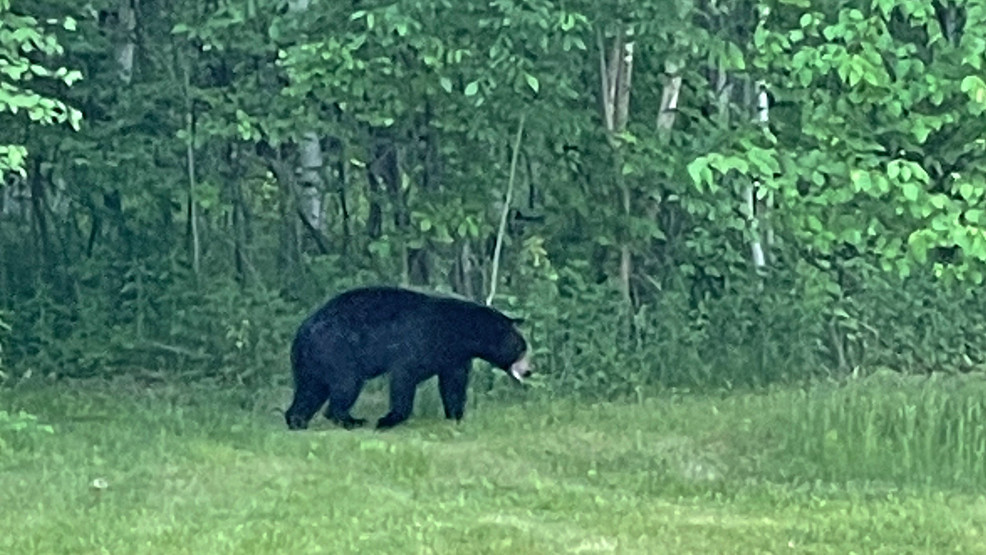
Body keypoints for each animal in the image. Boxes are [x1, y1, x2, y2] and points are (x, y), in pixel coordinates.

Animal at [284, 286, 532, 430]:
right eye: (522, 348)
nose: (529, 370)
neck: (461, 330)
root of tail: (303, 330)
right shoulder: (420, 340)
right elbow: (405, 377)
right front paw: (387, 419)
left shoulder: (454, 355)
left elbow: (453, 383)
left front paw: (455, 416)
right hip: (337, 350)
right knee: (346, 384)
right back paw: (351, 420)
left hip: (314, 361)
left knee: (310, 389)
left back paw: (297, 420)